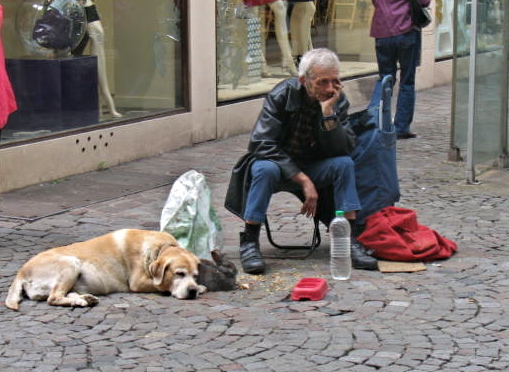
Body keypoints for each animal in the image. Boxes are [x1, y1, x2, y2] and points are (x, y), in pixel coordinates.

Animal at [3, 228, 206, 310]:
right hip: (70, 264)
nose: (192, 291)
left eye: (195, 275)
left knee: (61, 295)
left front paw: (199, 287)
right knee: (53, 298)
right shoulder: (138, 282)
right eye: (179, 273)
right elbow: (162, 285)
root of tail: (21, 272)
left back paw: (84, 299)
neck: (159, 248)